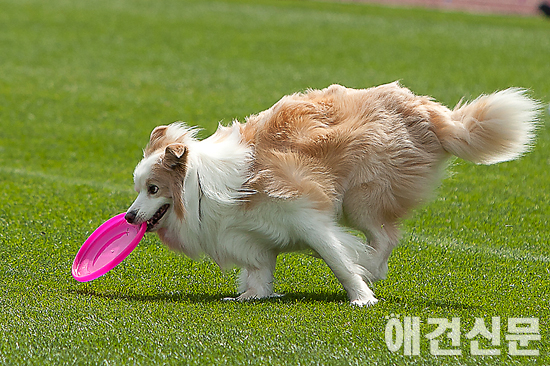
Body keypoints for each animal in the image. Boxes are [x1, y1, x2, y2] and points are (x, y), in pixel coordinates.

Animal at [124, 83, 540, 306]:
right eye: (138, 189)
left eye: (153, 188)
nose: (128, 217)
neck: (199, 188)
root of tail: (430, 112)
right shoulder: (248, 236)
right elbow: (259, 271)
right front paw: (249, 297)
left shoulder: (307, 215)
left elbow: (336, 258)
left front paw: (360, 297)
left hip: (360, 200)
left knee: (384, 237)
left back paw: (370, 266)